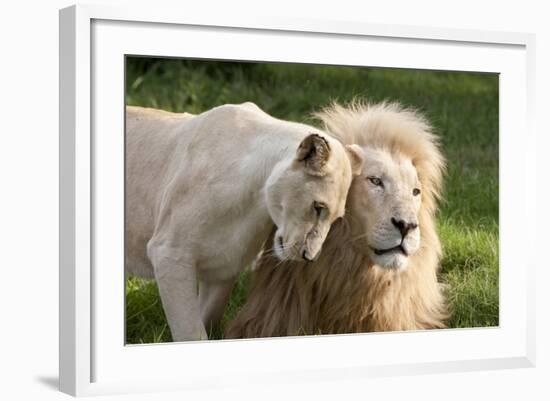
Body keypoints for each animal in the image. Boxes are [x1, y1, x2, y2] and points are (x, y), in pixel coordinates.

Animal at [126, 101, 364, 340]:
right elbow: (190, 332)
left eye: (335, 218)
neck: (255, 204)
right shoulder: (170, 253)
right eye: (318, 207)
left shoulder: (224, 266)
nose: (309, 257)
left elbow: (208, 318)